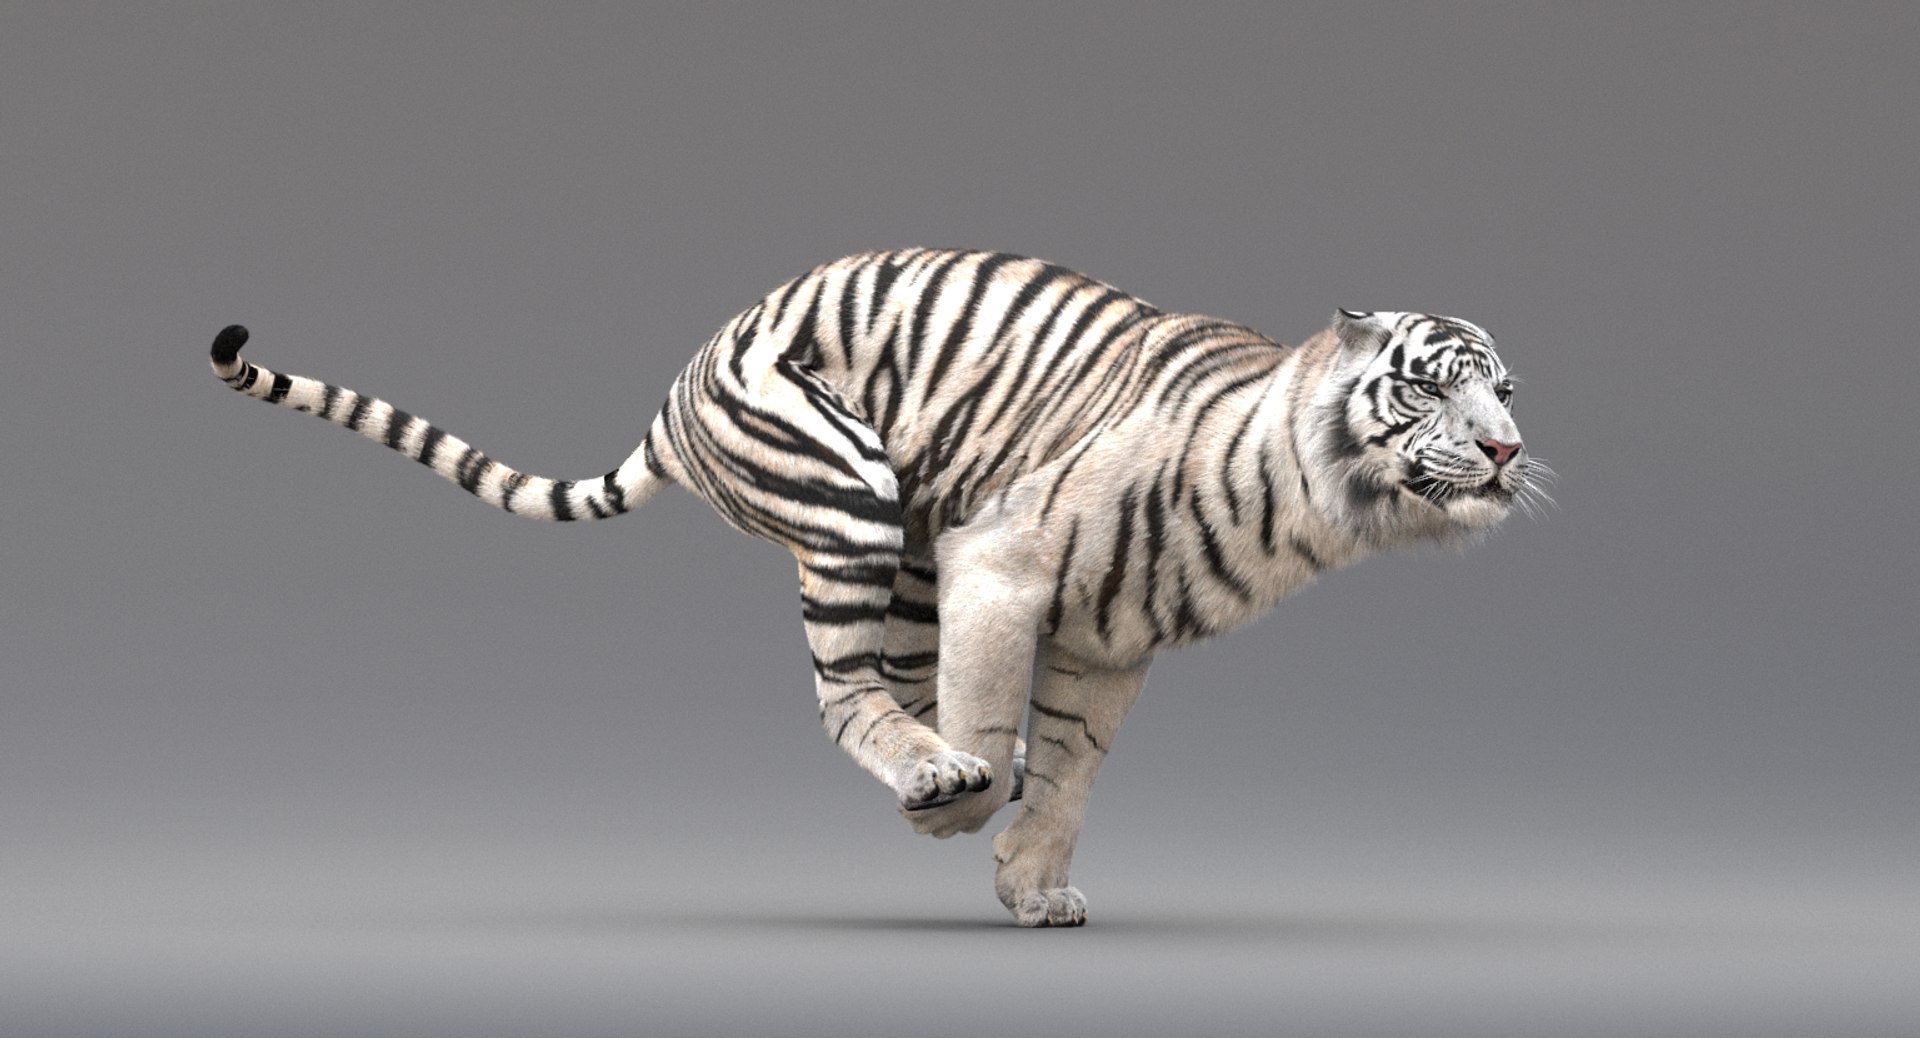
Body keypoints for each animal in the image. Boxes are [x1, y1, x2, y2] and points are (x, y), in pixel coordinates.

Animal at [207, 248, 1545, 927]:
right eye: (1432, 386)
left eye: (1506, 391)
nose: (1505, 452)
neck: (1308, 516)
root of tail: (677, 391)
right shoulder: (1005, 566)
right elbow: (997, 722)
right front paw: (963, 817)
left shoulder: (1109, 640)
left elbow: (1070, 770)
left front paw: (1030, 883)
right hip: (853, 496)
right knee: (846, 695)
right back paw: (936, 780)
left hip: (909, 557)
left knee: (891, 695)